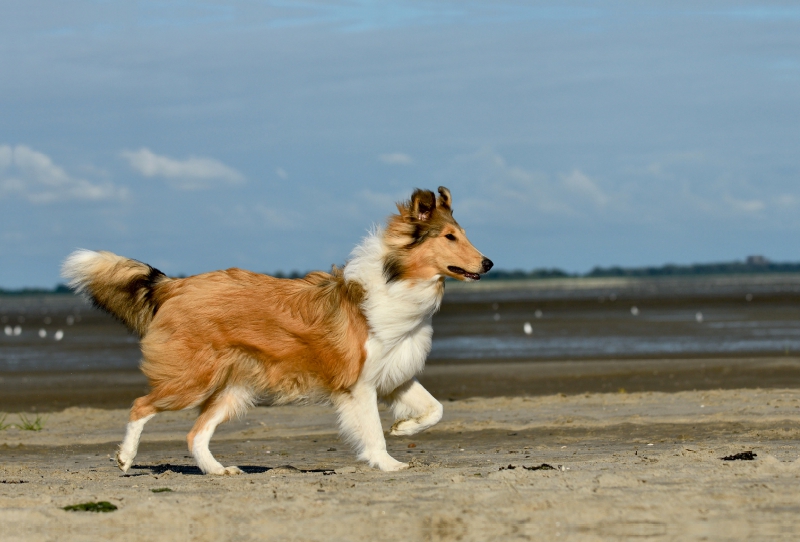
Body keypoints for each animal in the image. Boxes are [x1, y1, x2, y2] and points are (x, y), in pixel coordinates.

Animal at [62, 188, 490, 476]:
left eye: (462, 233)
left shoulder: (395, 375)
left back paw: (218, 471)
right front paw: (388, 462)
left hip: (233, 389)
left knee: (195, 434)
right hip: (193, 380)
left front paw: (404, 428)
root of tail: (175, 285)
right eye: (450, 237)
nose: (488, 263)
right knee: (140, 406)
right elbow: (373, 432)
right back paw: (125, 457)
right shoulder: (360, 385)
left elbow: (436, 409)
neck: (396, 283)